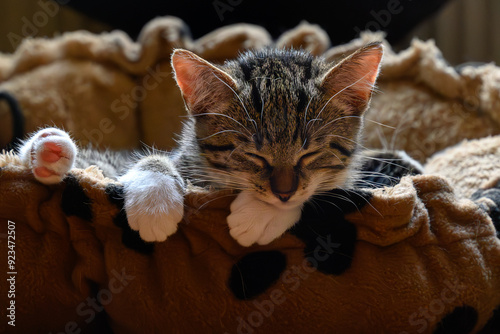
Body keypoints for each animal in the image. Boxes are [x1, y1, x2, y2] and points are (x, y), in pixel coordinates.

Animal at [16, 43, 382, 247]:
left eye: (311, 153)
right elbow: (151, 161)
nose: (284, 193)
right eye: (253, 155)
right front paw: (155, 200)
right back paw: (48, 153)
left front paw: (261, 214)